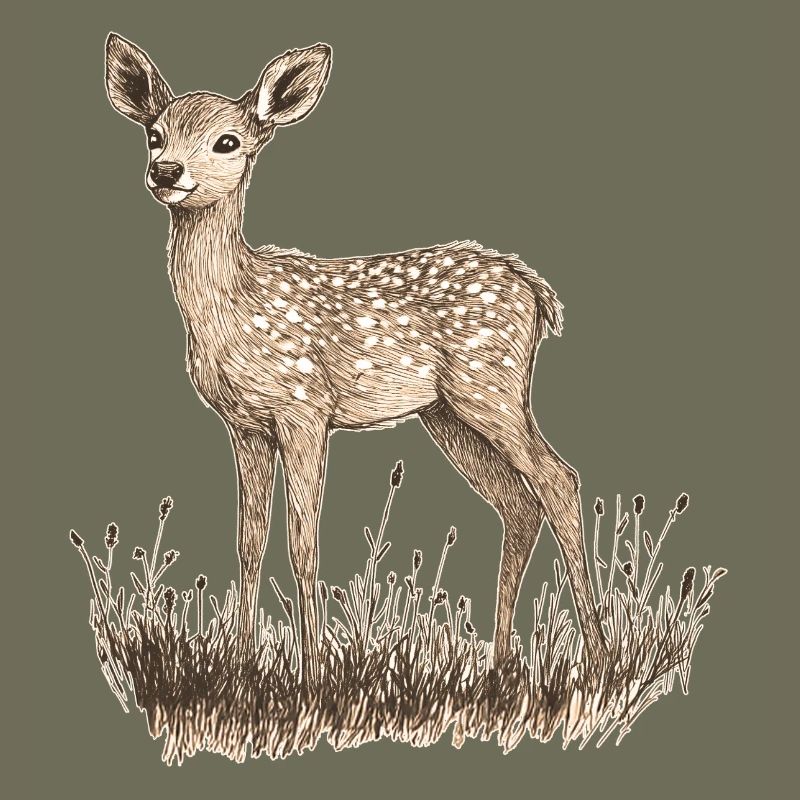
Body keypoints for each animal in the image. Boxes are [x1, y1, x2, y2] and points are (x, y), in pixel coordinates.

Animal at [105, 33, 606, 686]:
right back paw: (501, 665)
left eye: (228, 141)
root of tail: (534, 288)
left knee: (558, 480)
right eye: (154, 133)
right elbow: (248, 542)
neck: (233, 310)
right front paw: (239, 665)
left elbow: (302, 542)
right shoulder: (245, 426)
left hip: (488, 383)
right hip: (447, 414)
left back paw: (599, 659)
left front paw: (313, 672)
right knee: (518, 504)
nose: (166, 171)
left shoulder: (304, 408)